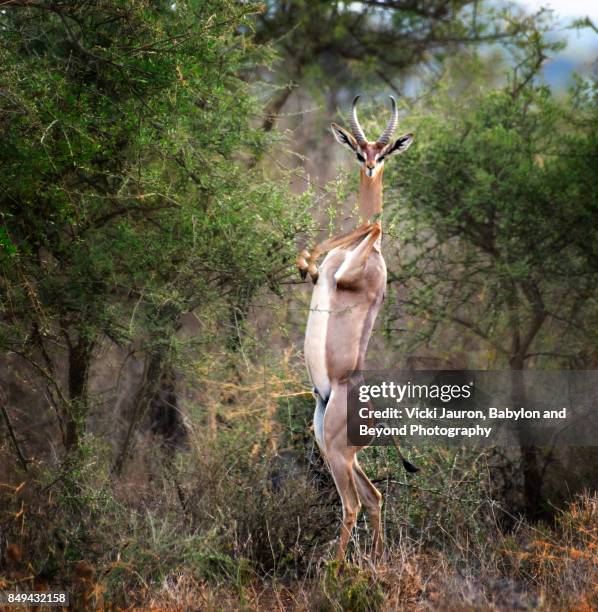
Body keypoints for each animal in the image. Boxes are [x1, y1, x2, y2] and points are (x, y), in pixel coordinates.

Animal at [298, 94, 418, 560]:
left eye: (383, 153)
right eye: (357, 149)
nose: (369, 166)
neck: (376, 258)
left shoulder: (346, 274)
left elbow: (372, 224)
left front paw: (304, 261)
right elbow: (356, 231)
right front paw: (303, 264)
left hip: (336, 453)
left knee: (352, 504)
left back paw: (336, 569)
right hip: (332, 447)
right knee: (375, 497)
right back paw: (377, 563)